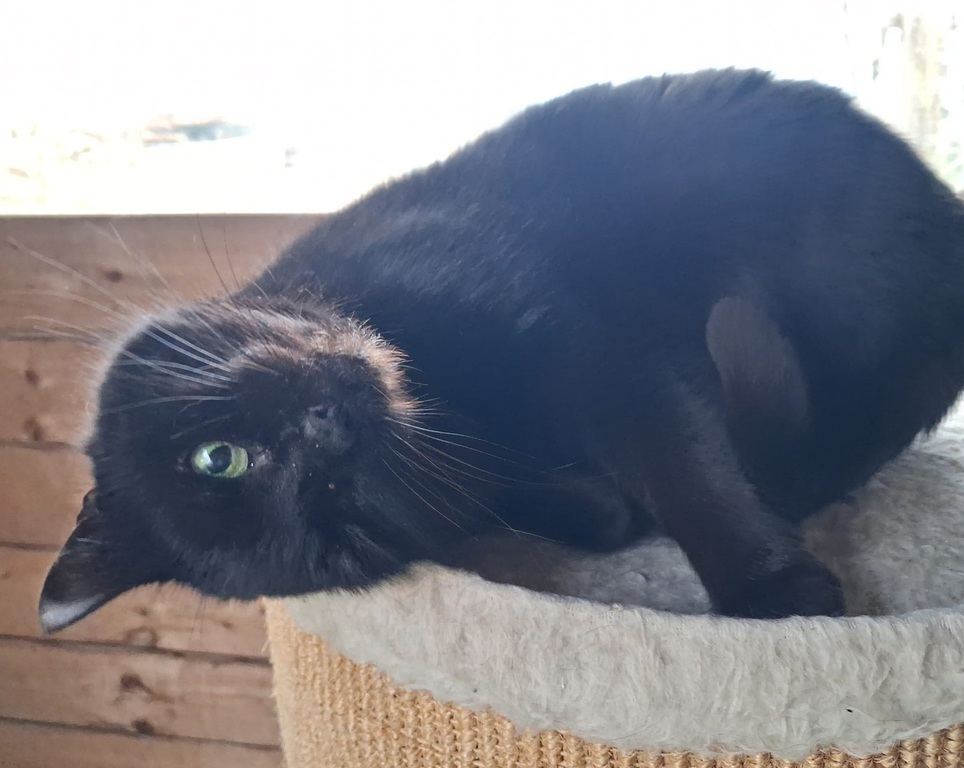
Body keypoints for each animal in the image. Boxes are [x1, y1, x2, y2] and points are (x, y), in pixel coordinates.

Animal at [40, 69, 964, 632]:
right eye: (343, 510)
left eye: (217, 457)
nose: (330, 428)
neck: (446, 391)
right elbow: (596, 508)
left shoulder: (594, 347)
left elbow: (685, 469)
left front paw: (771, 598)